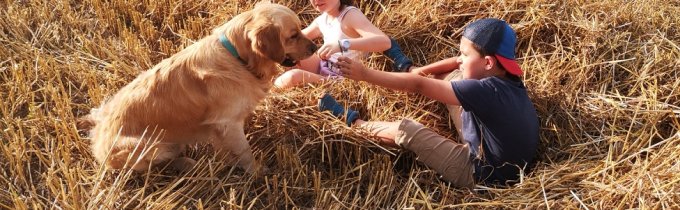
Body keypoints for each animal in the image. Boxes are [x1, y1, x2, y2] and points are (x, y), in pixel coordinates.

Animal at [83, 2, 318, 174]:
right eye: (293, 35)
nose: (315, 47)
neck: (237, 58)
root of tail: (97, 139)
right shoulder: (228, 123)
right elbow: (245, 152)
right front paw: (258, 173)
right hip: (152, 145)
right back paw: (187, 163)